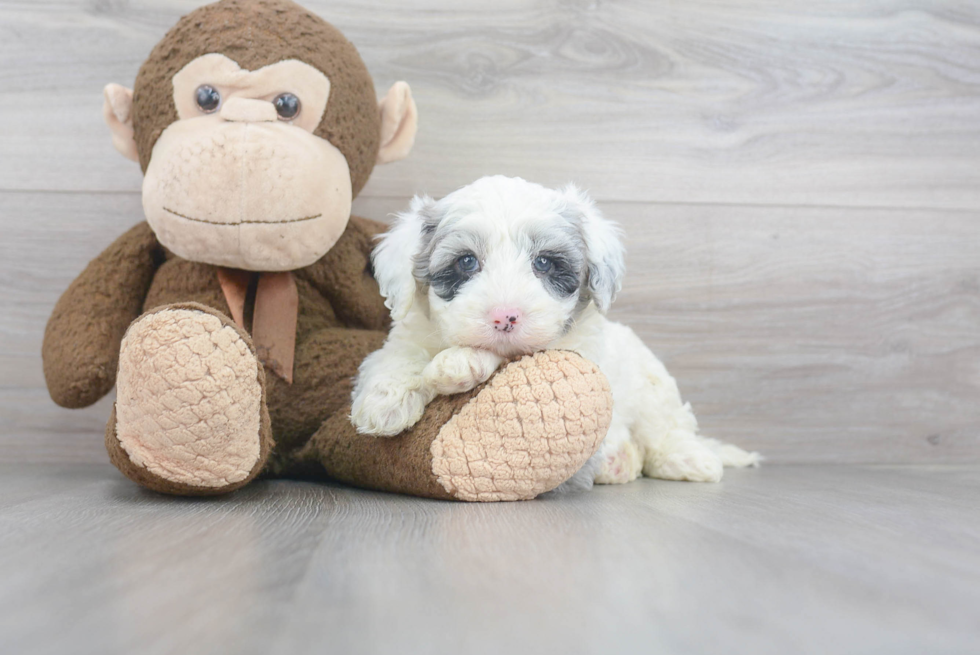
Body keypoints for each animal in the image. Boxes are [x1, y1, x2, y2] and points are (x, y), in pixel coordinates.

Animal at [350, 177, 756, 484]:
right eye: (466, 262)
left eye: (544, 263)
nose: (505, 317)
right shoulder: (409, 335)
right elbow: (397, 358)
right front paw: (384, 404)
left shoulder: (579, 358)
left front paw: (458, 364)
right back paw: (619, 462)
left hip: (653, 387)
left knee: (665, 430)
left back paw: (688, 460)